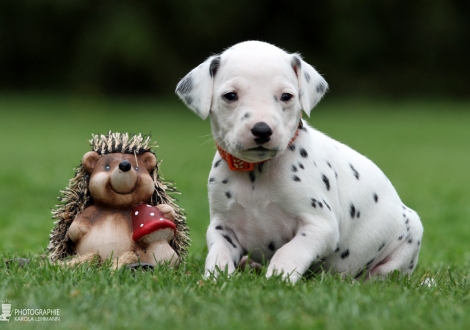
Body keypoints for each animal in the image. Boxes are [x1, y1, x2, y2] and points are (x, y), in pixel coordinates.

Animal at [174, 40, 424, 282]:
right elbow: (219, 254)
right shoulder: (221, 227)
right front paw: (215, 279)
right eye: (230, 96)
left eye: (286, 96)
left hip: (409, 235)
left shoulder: (319, 227)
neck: (257, 172)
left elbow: (289, 251)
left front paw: (278, 279)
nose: (262, 130)